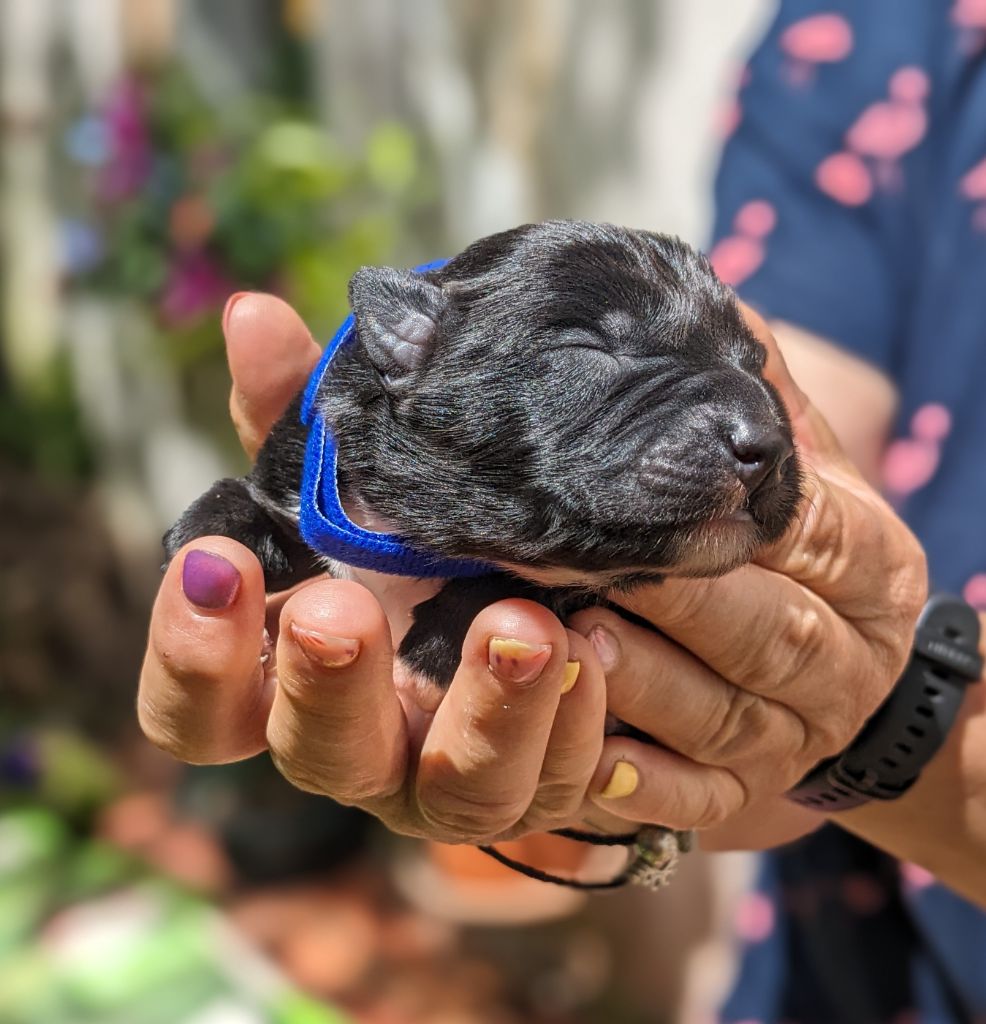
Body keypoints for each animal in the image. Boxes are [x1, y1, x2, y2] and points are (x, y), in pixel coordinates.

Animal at [165, 220, 801, 694]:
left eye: (755, 364)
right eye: (590, 348)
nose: (767, 447)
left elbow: (533, 580)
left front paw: (438, 644)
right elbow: (245, 502)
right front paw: (204, 544)